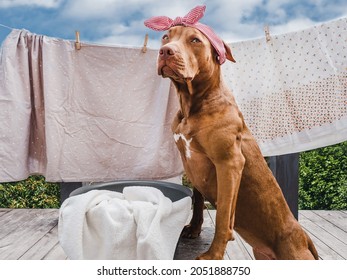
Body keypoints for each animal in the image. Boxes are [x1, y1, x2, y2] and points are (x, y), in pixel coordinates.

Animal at [159, 25, 320, 260]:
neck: (194, 103)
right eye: (166, 36)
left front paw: (213, 256)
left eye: (195, 40)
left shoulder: (229, 164)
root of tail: (304, 237)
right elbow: (197, 200)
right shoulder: (194, 165)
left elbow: (223, 217)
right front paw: (194, 229)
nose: (165, 51)